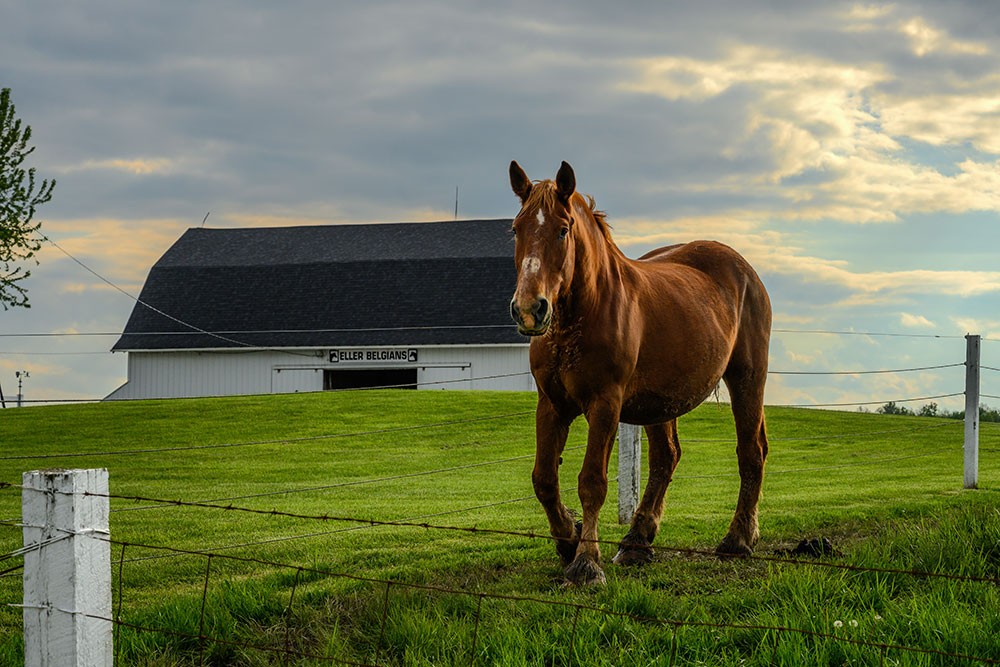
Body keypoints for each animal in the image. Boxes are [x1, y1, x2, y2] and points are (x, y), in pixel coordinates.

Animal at [508, 160, 772, 584]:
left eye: (563, 229)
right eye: (516, 228)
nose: (530, 309)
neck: (586, 310)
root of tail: (744, 269)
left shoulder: (605, 404)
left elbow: (592, 482)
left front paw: (586, 563)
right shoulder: (551, 404)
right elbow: (544, 479)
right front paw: (568, 539)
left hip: (747, 378)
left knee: (751, 452)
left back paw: (738, 539)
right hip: (660, 403)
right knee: (666, 458)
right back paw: (637, 540)